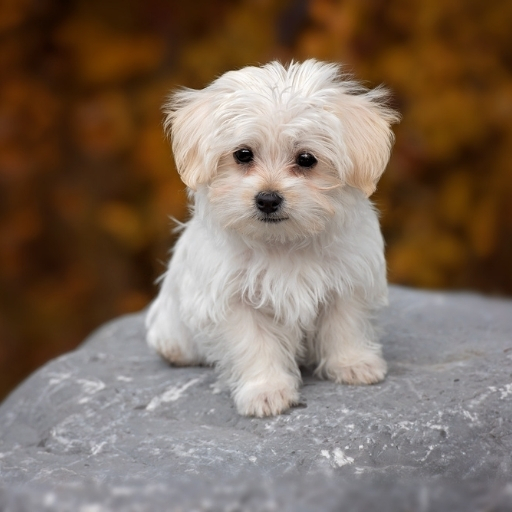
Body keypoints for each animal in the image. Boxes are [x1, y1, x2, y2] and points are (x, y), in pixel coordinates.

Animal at [145, 60, 400, 418]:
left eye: (306, 159)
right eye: (243, 155)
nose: (267, 199)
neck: (283, 242)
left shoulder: (347, 279)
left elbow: (345, 325)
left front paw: (353, 363)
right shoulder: (233, 299)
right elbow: (255, 344)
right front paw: (265, 390)